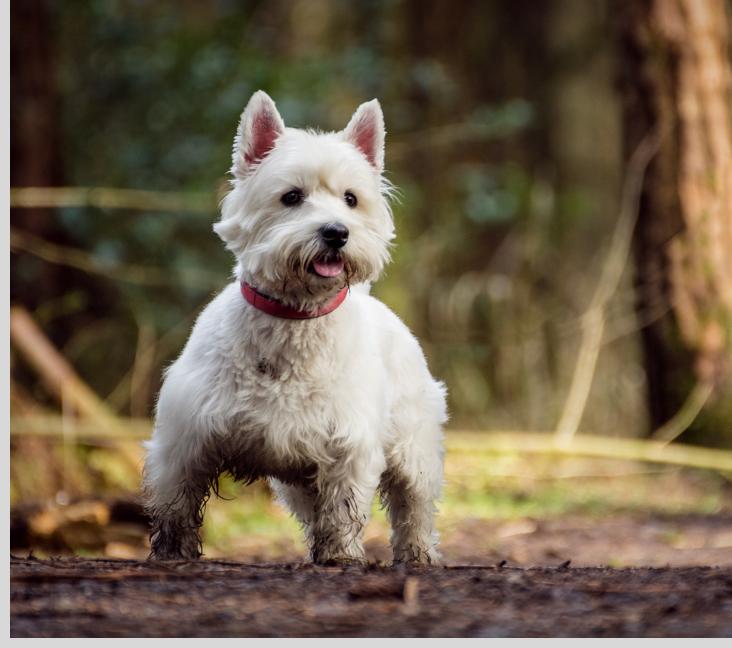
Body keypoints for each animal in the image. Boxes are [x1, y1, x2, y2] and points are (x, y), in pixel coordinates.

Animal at [143, 91, 446, 568]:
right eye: (291, 197)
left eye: (350, 198)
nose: (336, 232)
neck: (295, 319)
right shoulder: (185, 438)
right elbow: (176, 501)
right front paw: (171, 554)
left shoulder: (348, 445)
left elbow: (344, 506)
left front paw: (342, 555)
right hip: (298, 479)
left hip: (413, 446)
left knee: (413, 504)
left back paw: (418, 555)